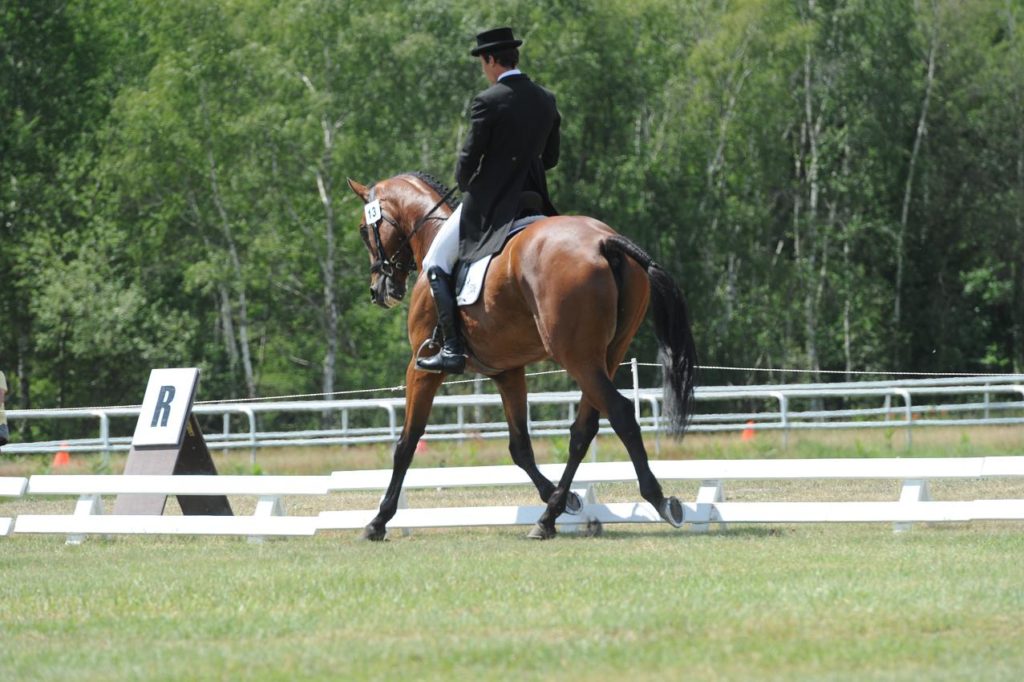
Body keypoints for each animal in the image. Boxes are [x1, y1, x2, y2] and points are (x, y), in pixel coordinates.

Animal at [344, 173, 696, 540]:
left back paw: (659, 501)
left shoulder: (422, 368)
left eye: (363, 229)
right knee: (583, 430)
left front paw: (378, 521)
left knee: (621, 413)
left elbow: (406, 443)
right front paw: (567, 499)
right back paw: (549, 516)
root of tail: (604, 240)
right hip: (606, 358)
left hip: (577, 358)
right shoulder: (507, 372)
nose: (378, 290)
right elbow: (520, 446)